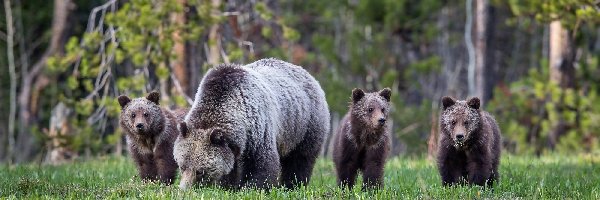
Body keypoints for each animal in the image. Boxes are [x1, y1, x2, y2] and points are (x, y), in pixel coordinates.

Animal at [173, 58, 332, 189]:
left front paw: (251, 187)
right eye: (182, 166)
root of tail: (308, 74)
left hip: (305, 123)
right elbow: (230, 168)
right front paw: (228, 186)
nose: (184, 189)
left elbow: (262, 164)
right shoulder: (232, 145)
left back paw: (293, 185)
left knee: (301, 158)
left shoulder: (258, 129)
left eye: (200, 171)